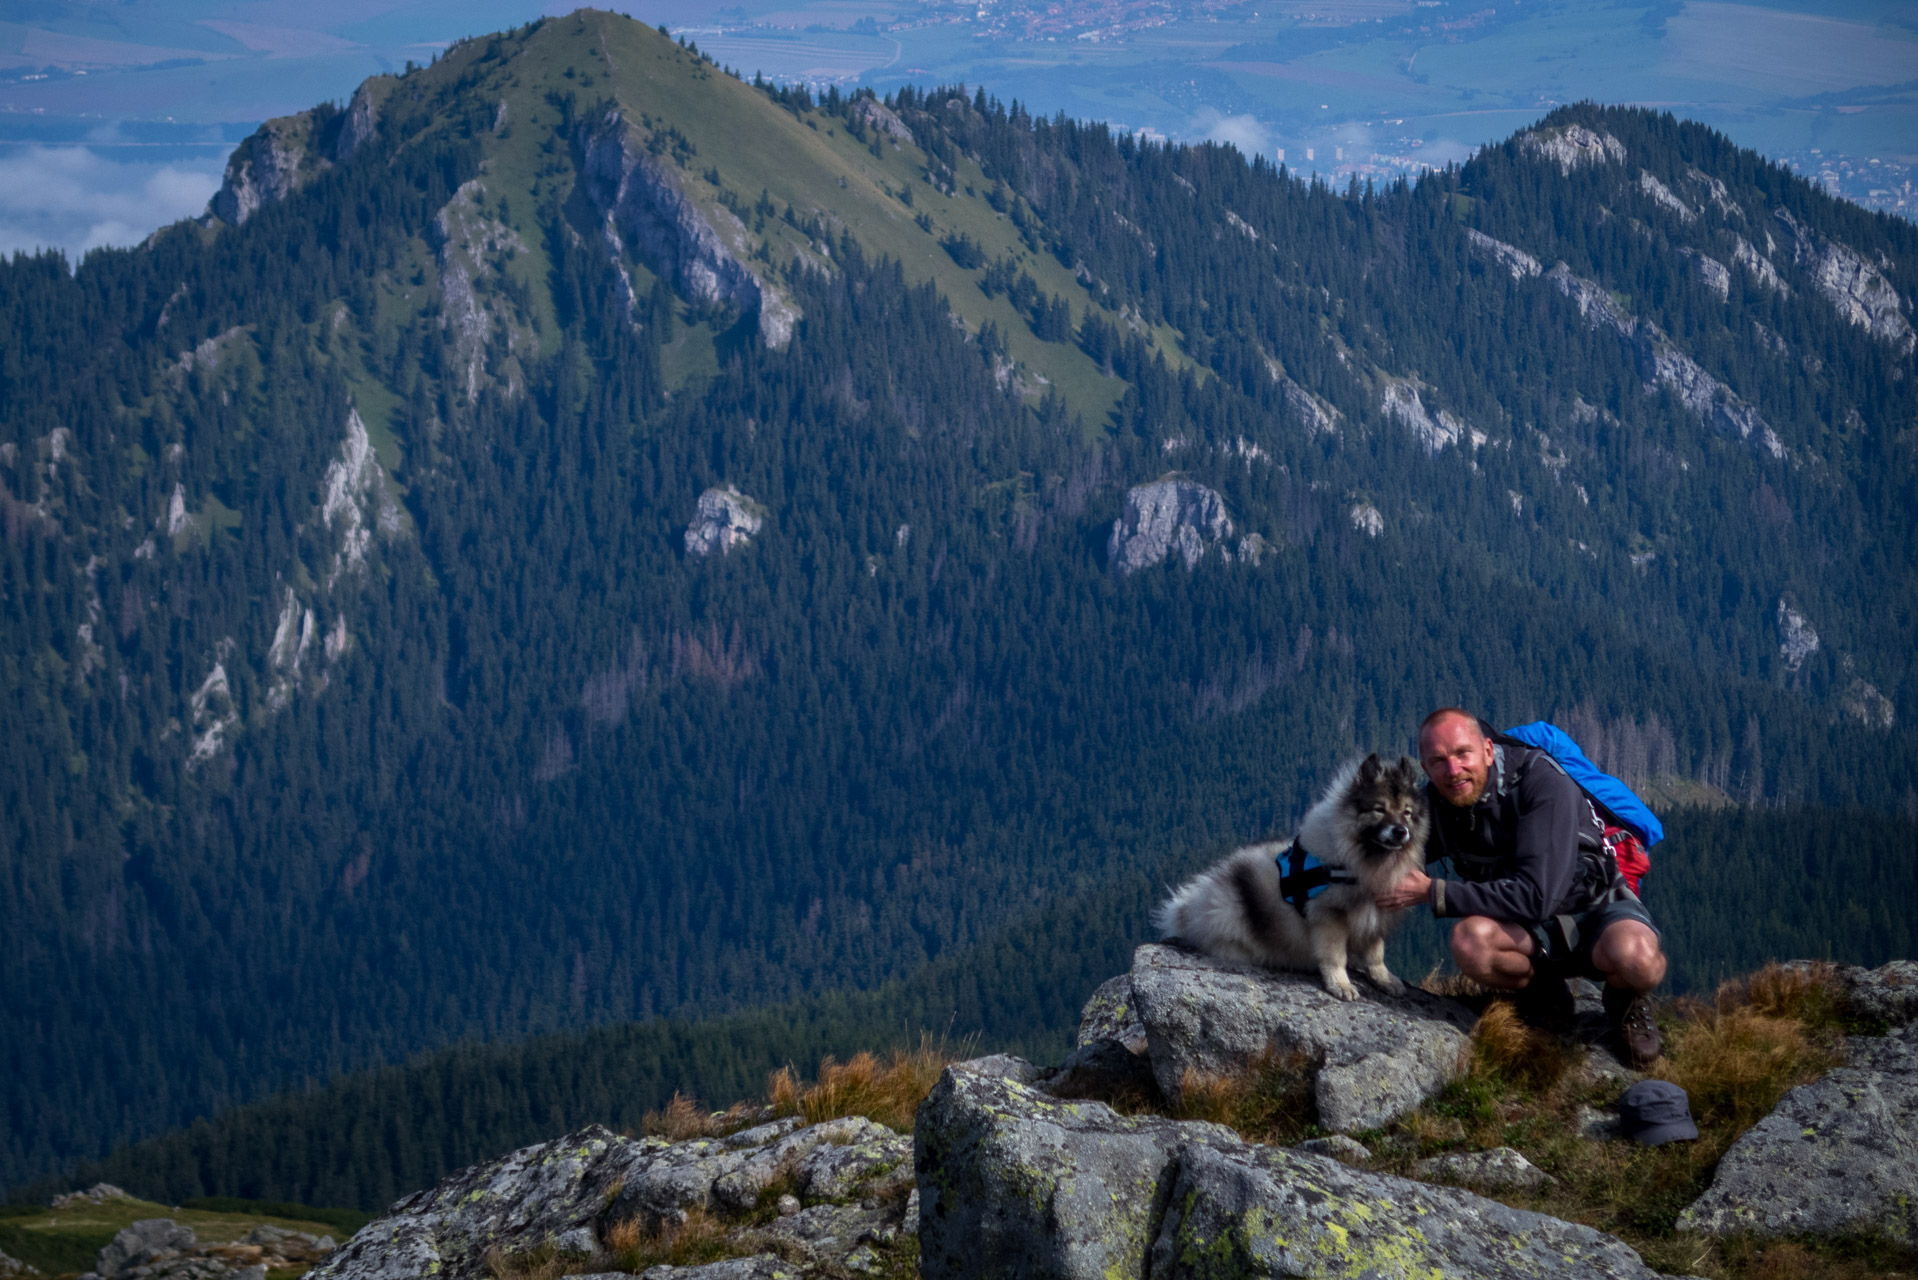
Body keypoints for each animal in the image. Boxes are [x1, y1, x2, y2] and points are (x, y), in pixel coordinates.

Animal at [1150, 759, 1426, 997]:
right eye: (1379, 809)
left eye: (1407, 813)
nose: (1400, 831)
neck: (1363, 860)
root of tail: (1189, 905)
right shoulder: (1330, 916)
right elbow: (1335, 956)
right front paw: (1340, 984)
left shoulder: (1375, 916)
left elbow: (1375, 954)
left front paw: (1384, 979)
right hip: (1231, 912)